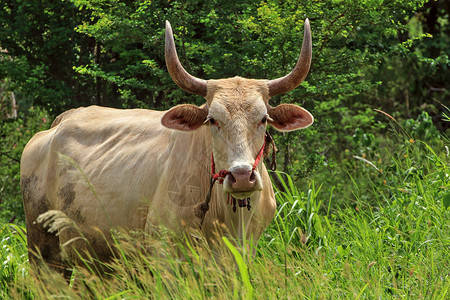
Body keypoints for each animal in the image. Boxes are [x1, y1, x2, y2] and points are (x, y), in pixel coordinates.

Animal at [21, 19, 314, 270]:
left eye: (263, 119)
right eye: (212, 120)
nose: (242, 176)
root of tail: (56, 125)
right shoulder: (163, 254)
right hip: (42, 252)